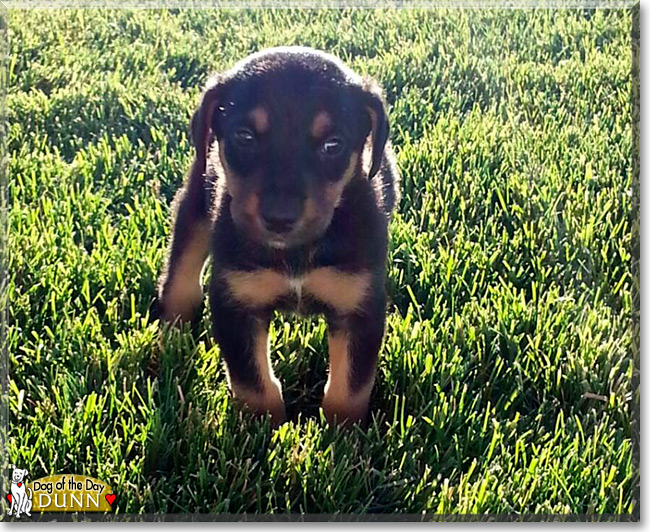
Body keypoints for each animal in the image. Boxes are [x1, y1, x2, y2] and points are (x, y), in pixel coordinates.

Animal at [158, 47, 400, 426]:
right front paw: (262, 430)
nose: (279, 218)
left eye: (333, 145)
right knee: (180, 276)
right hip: (195, 203)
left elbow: (348, 390)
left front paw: (343, 435)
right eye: (244, 136)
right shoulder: (236, 304)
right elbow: (254, 384)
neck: (295, 252)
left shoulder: (358, 307)